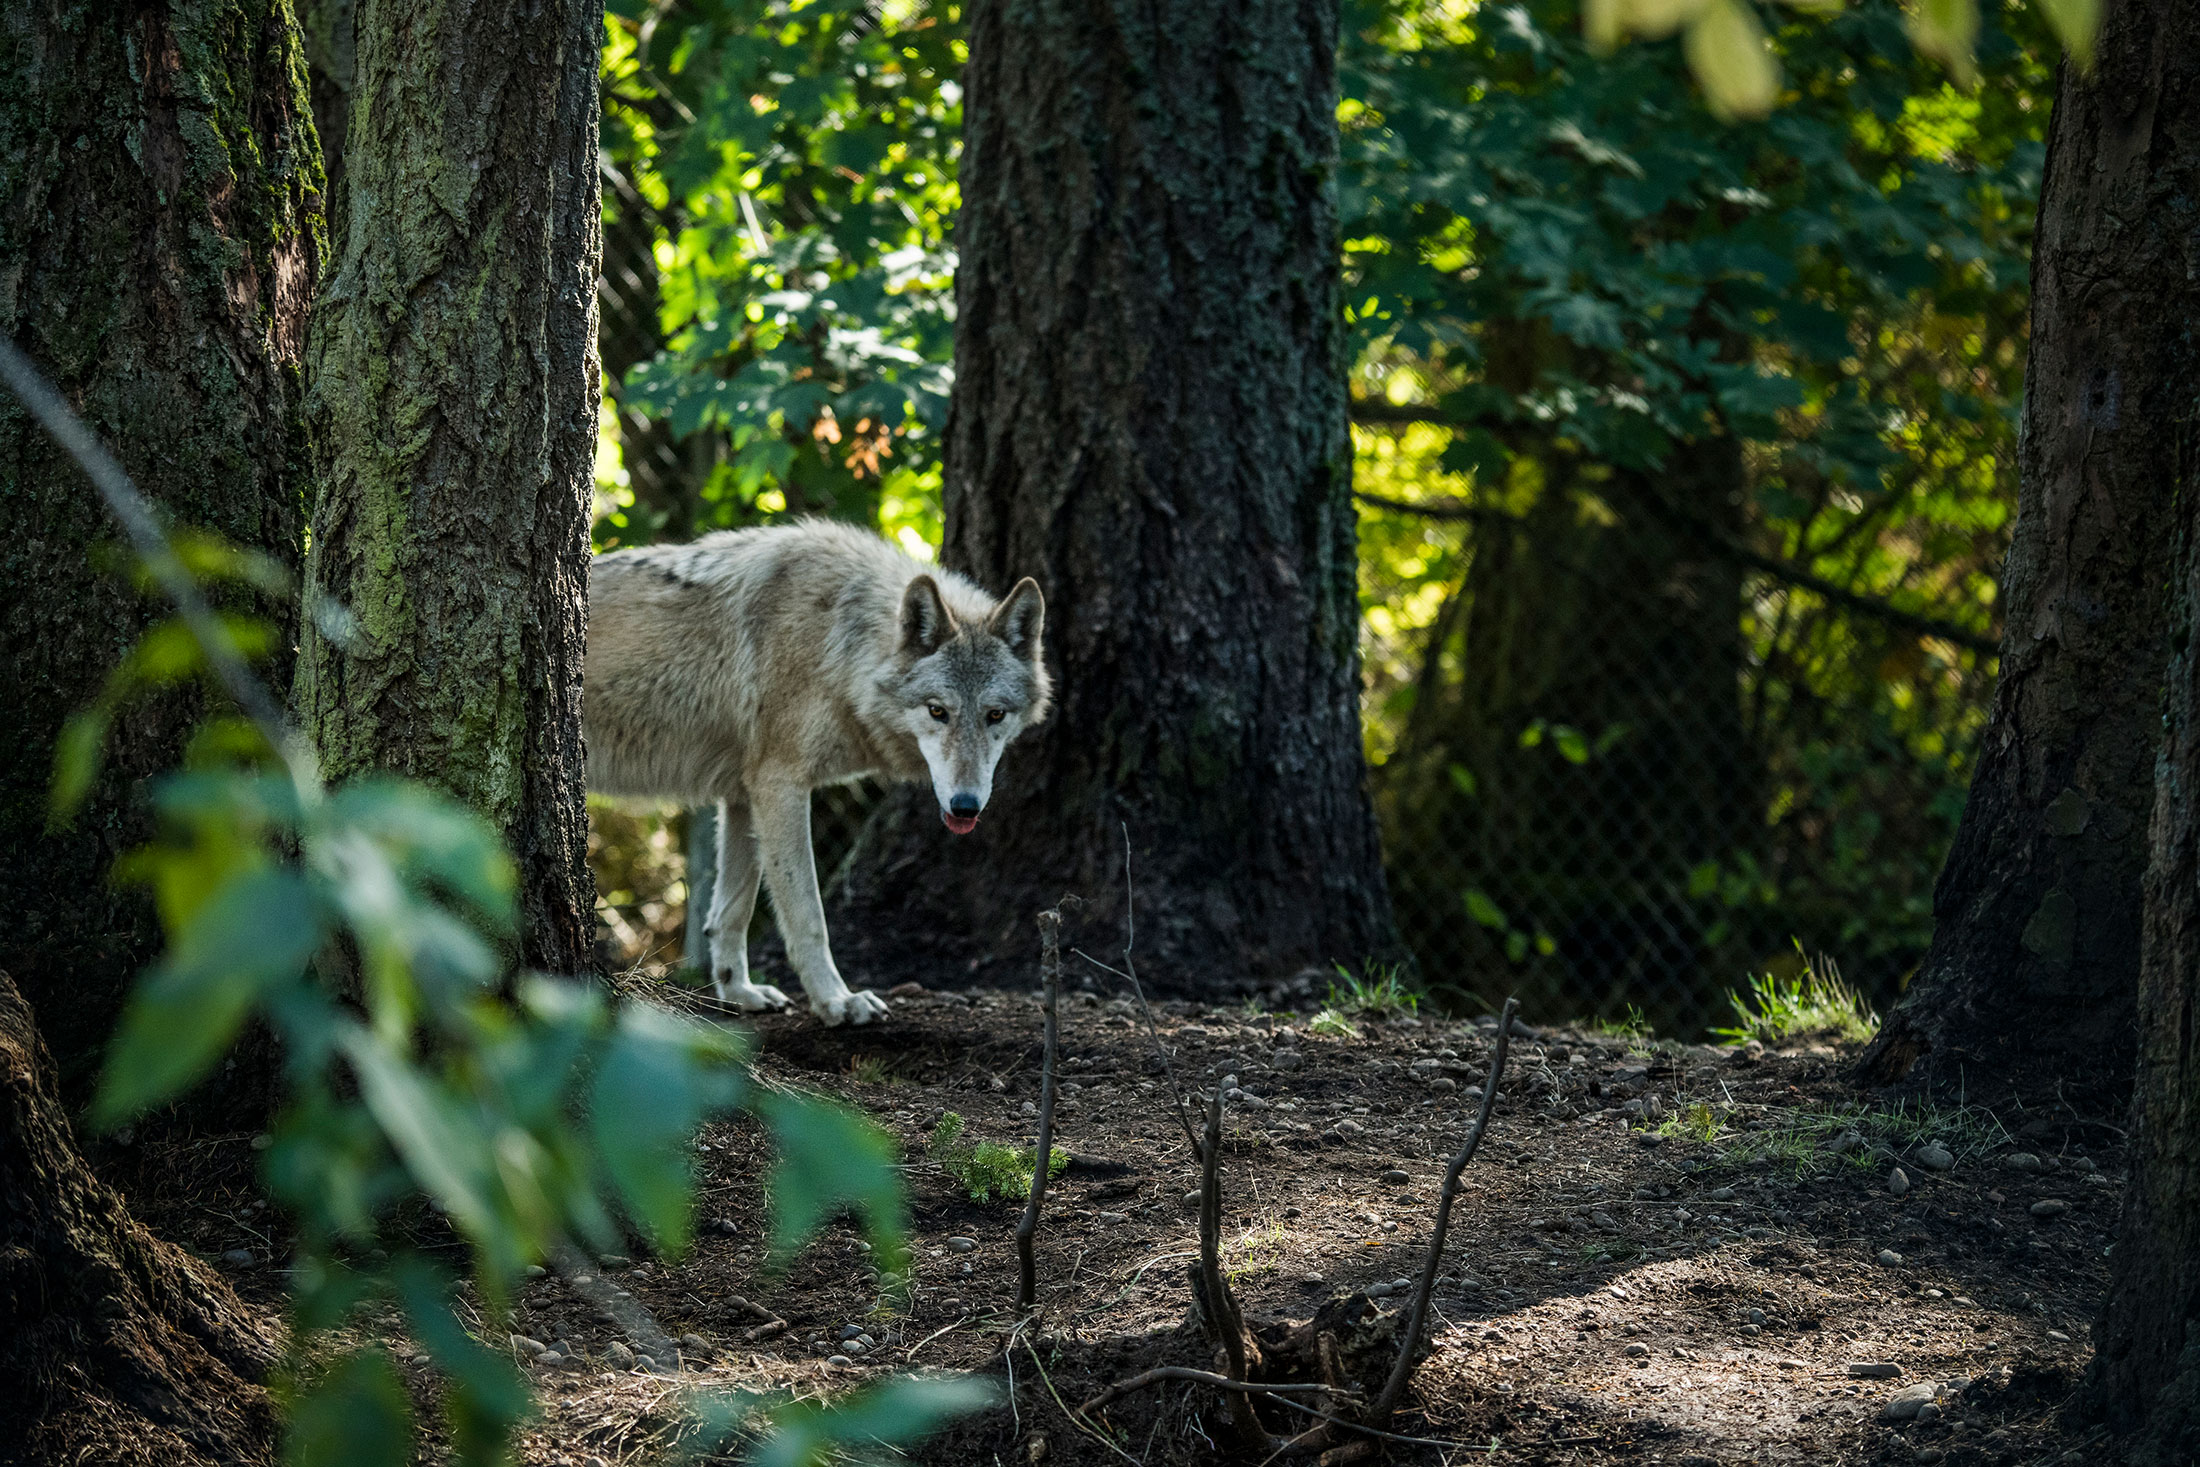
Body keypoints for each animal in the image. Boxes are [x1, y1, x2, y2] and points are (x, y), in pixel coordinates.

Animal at [585, 521, 1047, 1029]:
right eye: (938, 711)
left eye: (995, 715)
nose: (966, 806)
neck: (837, 644)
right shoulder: (780, 786)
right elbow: (809, 916)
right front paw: (836, 1002)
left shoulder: (743, 795)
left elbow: (731, 912)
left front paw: (738, 992)